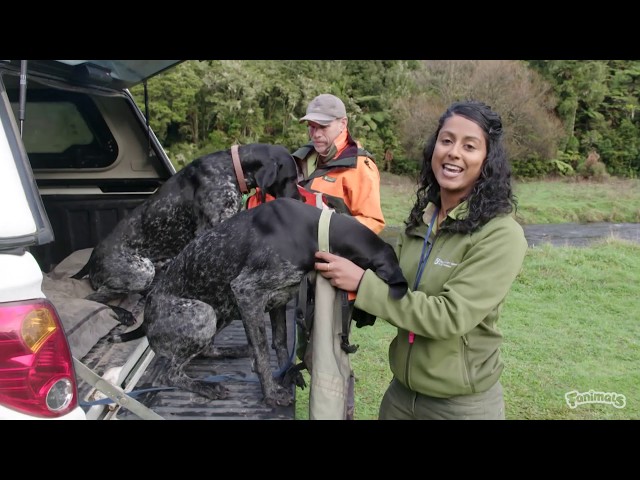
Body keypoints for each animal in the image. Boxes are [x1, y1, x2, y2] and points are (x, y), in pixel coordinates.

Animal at [71, 142, 302, 322]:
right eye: (291, 178)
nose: (300, 200)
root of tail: (90, 261)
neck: (232, 167)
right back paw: (122, 313)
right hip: (141, 271)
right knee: (89, 300)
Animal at [112, 197, 408, 406]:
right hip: (203, 313)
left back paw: (235, 351)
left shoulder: (277, 300)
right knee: (171, 373)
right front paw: (271, 393)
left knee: (207, 349)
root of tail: (147, 316)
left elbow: (279, 343)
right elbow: (264, 352)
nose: (367, 323)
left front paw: (288, 373)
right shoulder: (247, 292)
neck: (315, 230)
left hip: (222, 310)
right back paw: (207, 386)